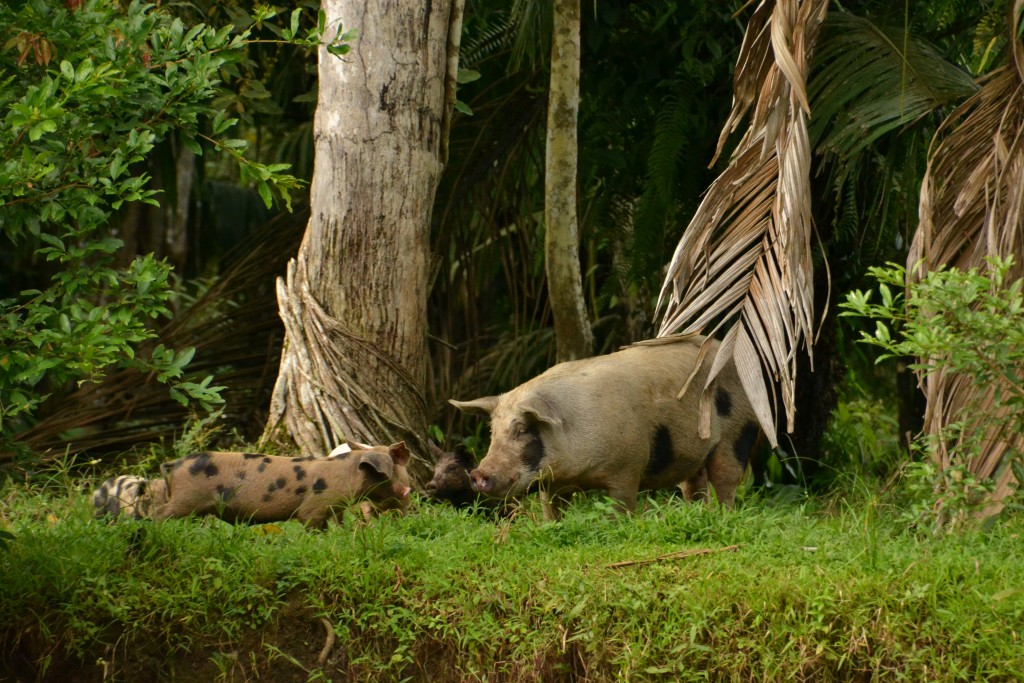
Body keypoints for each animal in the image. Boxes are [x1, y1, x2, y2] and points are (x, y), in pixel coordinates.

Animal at [151, 444, 411, 528]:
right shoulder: (314, 507)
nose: (409, 491)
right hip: (185, 499)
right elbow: (310, 523)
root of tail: (176, 464)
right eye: (388, 472)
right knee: (159, 513)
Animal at [450, 335, 761, 518]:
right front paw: (551, 526)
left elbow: (622, 506)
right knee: (693, 484)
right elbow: (552, 510)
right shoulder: (552, 484)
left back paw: (723, 517)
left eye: (522, 430)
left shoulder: (628, 466)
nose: (477, 473)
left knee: (726, 478)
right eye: (493, 432)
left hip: (739, 431)